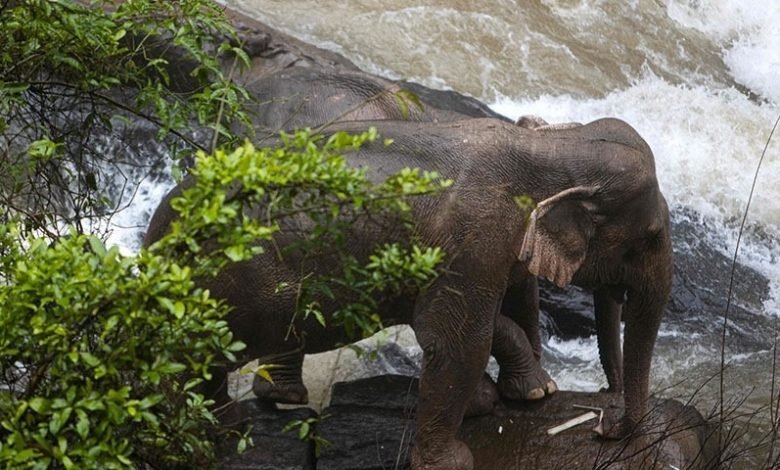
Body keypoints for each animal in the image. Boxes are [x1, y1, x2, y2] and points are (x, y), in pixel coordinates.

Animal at [143, 116, 672, 469]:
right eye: (649, 237)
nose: (603, 425)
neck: (550, 144)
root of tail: (157, 234)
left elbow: (506, 308)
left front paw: (521, 394)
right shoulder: (475, 238)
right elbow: (457, 341)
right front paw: (457, 457)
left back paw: (249, 413)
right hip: (237, 284)